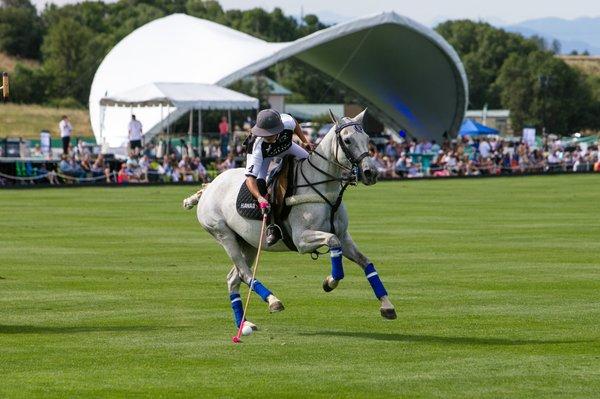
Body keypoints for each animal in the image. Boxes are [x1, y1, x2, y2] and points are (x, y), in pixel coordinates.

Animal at [185, 109, 396, 332]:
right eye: (347, 140)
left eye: (368, 139)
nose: (370, 173)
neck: (324, 189)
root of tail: (209, 186)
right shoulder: (301, 240)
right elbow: (332, 242)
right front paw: (330, 281)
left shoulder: (344, 236)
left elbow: (366, 262)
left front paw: (387, 306)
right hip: (224, 235)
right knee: (244, 273)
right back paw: (273, 301)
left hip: (248, 243)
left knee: (233, 278)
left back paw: (244, 324)